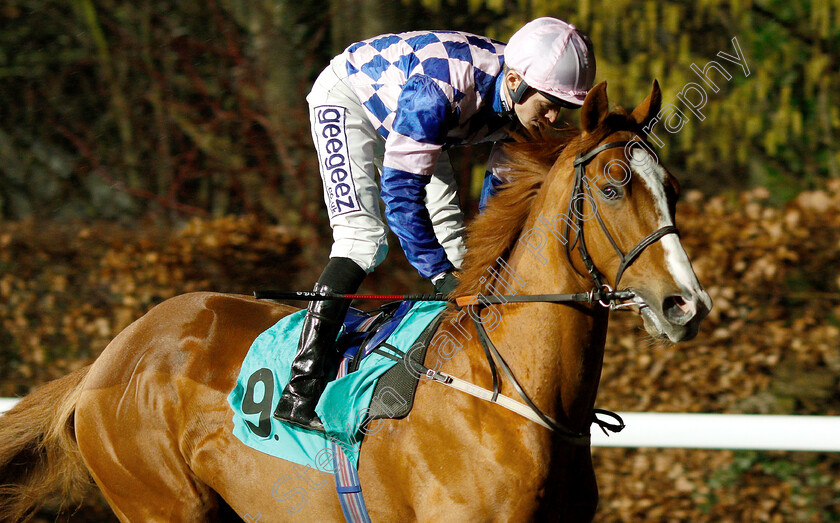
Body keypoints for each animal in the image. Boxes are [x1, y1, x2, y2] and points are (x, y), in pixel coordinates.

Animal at [0, 80, 708, 520]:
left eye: (670, 185)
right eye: (613, 186)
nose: (686, 305)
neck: (510, 393)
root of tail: (111, 355)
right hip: (162, 504)